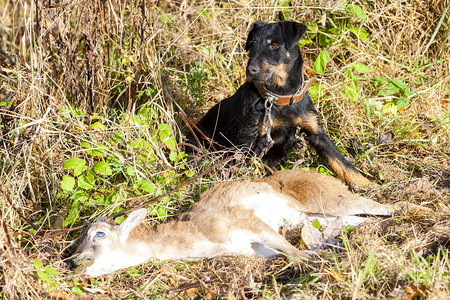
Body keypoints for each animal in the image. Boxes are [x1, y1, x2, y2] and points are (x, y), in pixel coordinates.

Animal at [74, 170, 400, 276]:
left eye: (99, 234)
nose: (75, 261)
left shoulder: (244, 220)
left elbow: (289, 249)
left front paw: (311, 259)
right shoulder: (253, 249)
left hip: (328, 200)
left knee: (385, 207)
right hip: (322, 218)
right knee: (357, 219)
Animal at [186, 21, 372, 186]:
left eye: (274, 45)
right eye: (251, 45)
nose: (250, 70)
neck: (281, 98)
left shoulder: (316, 133)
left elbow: (341, 162)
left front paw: (368, 185)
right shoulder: (249, 138)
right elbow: (243, 165)